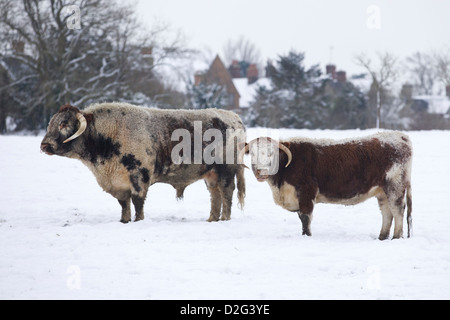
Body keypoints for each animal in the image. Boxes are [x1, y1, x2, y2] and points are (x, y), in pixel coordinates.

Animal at [40, 102, 246, 222]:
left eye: (64, 124)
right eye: (51, 123)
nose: (44, 145)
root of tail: (234, 117)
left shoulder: (139, 177)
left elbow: (137, 202)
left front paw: (138, 221)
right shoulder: (119, 183)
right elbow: (124, 204)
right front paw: (124, 221)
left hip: (226, 171)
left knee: (227, 193)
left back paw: (224, 219)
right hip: (210, 175)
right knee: (215, 195)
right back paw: (212, 219)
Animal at [241, 131, 414, 240]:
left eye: (272, 154)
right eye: (253, 154)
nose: (261, 172)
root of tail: (400, 136)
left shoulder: (306, 193)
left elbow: (305, 218)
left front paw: (306, 237)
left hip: (395, 186)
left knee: (397, 210)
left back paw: (396, 237)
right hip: (382, 191)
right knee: (386, 213)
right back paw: (382, 237)